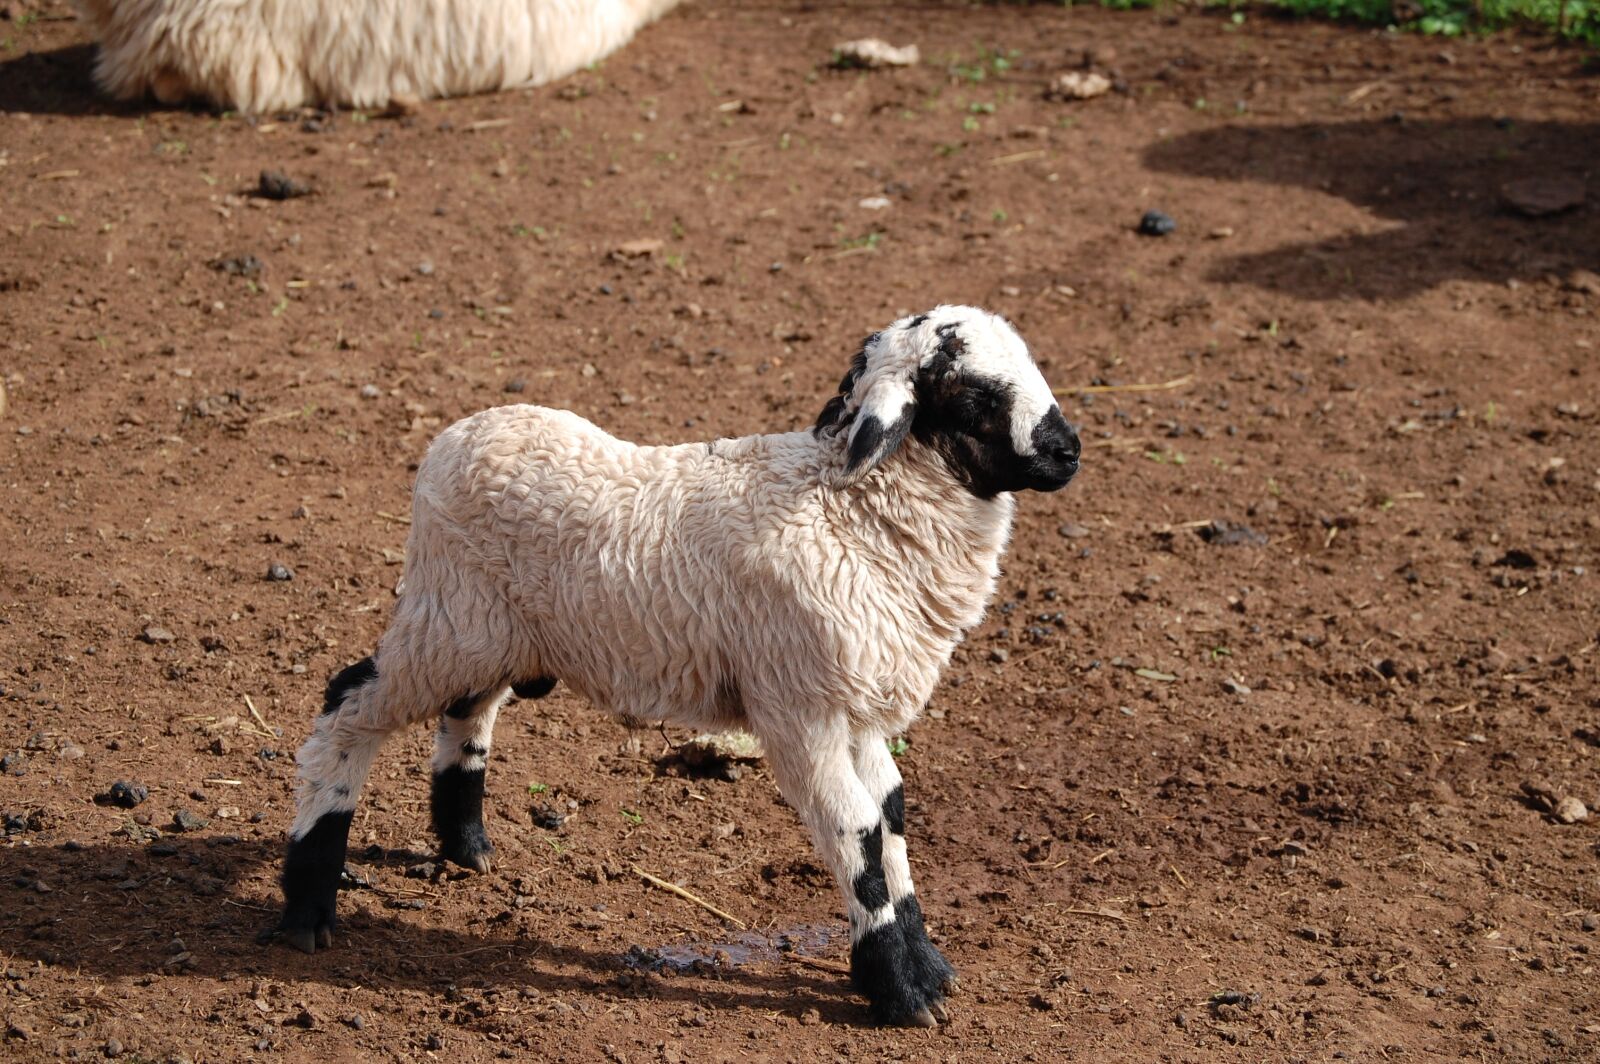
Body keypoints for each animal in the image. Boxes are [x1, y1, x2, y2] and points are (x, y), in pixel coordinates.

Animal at [272, 305, 1081, 1026]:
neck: (850, 508)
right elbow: (857, 833)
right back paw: (308, 903)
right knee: (346, 706)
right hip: (447, 619)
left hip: (493, 632)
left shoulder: (857, 708)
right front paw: (898, 991)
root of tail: (457, 436)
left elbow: (891, 819)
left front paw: (927, 970)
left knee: (466, 711)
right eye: (975, 395)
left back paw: (465, 845)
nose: (1068, 450)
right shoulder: (800, 708)